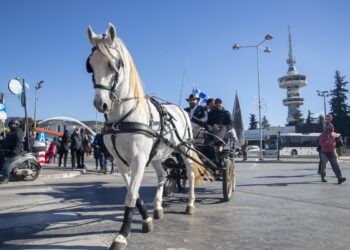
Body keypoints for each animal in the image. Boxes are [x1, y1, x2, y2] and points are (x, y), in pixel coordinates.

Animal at [87, 23, 197, 248]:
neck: (122, 118)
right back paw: (158, 208)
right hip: (155, 156)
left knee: (190, 174)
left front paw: (122, 234)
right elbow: (133, 192)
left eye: (113, 65)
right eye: (90, 65)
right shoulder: (120, 162)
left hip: (185, 149)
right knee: (163, 176)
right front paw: (146, 219)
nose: (100, 104)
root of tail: (181, 109)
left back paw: (190, 204)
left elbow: (130, 196)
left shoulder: (138, 159)